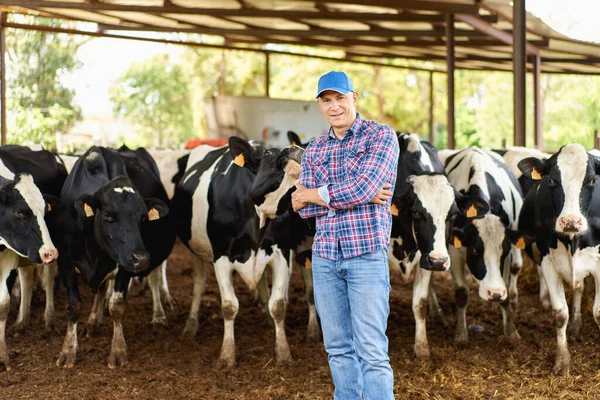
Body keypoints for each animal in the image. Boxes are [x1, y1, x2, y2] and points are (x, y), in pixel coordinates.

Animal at [51, 147, 176, 368]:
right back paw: (93, 321)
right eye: (108, 215)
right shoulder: (64, 259)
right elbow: (73, 306)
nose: (141, 257)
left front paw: (118, 351)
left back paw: (159, 315)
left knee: (155, 278)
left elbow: (116, 306)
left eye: (143, 217)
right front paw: (68, 351)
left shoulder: (125, 263)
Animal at [173, 136, 304, 368]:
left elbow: (278, 305)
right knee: (198, 285)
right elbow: (229, 306)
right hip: (195, 251)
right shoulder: (221, 255)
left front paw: (283, 353)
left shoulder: (281, 252)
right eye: (269, 154)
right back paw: (190, 326)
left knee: (262, 285)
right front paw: (226, 356)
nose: (295, 149)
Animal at [446, 147, 524, 346]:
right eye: (474, 250)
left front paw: (511, 331)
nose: (494, 293)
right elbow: (461, 293)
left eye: (504, 251)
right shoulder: (454, 250)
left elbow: (506, 290)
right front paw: (461, 334)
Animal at [516, 143, 600, 376]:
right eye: (552, 181)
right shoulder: (548, 262)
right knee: (578, 289)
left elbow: (598, 312)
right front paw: (562, 361)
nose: (571, 222)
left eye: (592, 180)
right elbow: (560, 313)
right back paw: (575, 326)